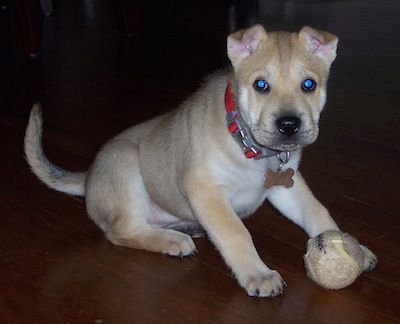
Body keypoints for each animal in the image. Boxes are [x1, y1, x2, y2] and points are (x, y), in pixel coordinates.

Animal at [24, 25, 376, 298]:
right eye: (261, 85)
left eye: (309, 85)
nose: (289, 125)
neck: (247, 145)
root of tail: (88, 178)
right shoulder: (206, 190)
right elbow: (236, 233)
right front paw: (258, 274)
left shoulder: (287, 186)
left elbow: (317, 213)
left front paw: (353, 248)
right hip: (125, 164)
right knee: (121, 231)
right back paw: (172, 240)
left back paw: (188, 229)